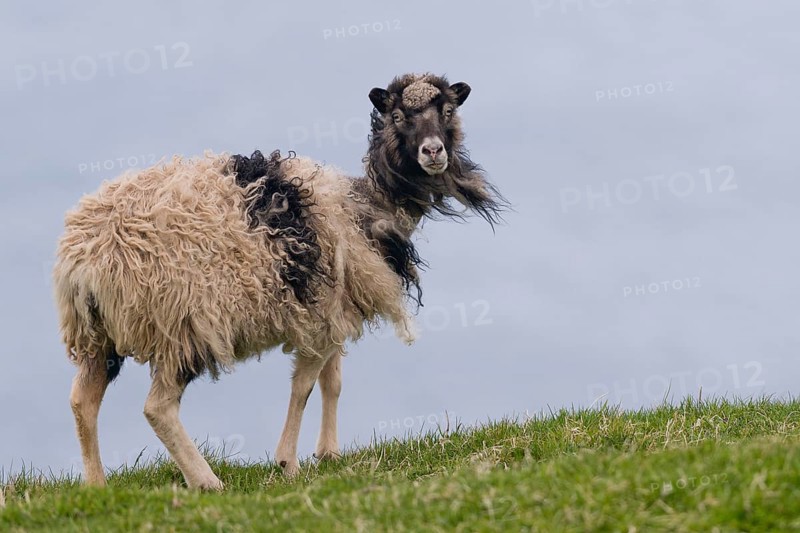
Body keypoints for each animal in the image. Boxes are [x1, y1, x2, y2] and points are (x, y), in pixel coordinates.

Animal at [54, 72, 507, 490]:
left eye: (447, 110)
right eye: (397, 116)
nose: (433, 151)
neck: (363, 203)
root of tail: (85, 259)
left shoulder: (331, 308)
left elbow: (332, 382)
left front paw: (328, 454)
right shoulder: (320, 318)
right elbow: (303, 387)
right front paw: (288, 464)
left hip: (97, 335)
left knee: (82, 401)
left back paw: (97, 487)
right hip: (184, 325)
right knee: (157, 407)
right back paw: (207, 481)